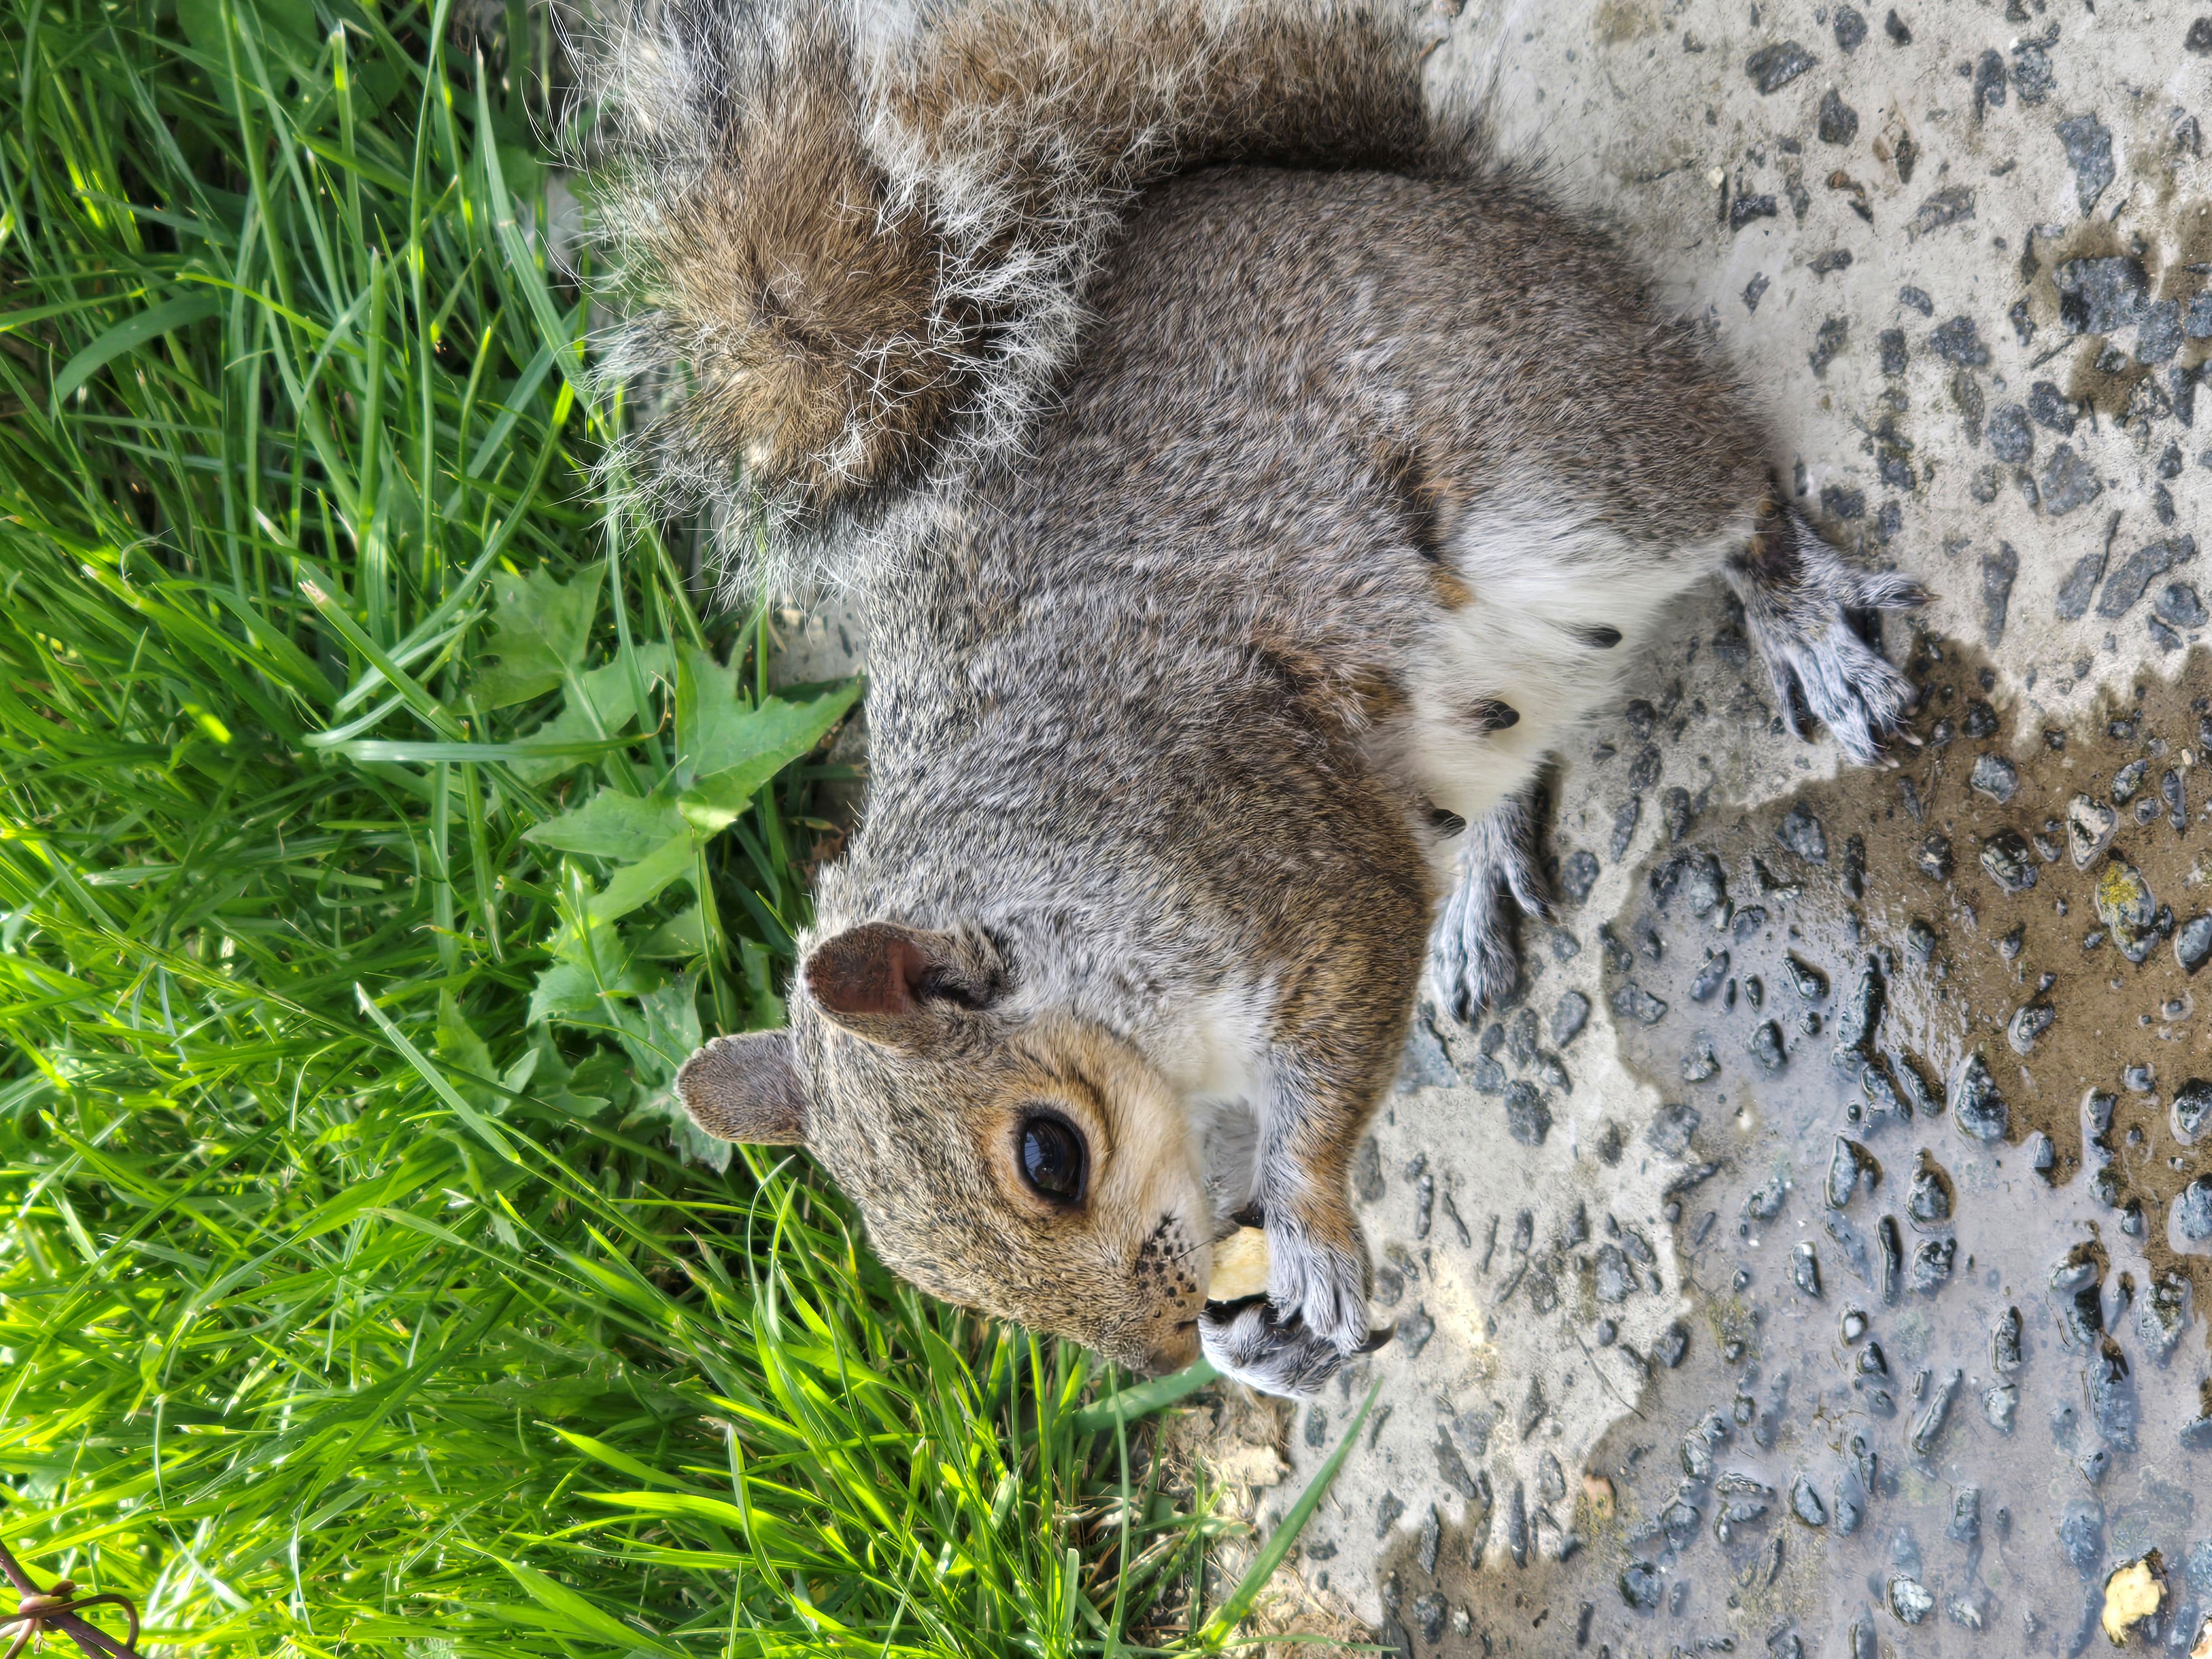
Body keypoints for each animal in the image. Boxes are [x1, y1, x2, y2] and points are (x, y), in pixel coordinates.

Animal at [575, 0, 1925, 1396]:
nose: (1157, 1347)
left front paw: (1311, 1235)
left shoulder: (1279, 857)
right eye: (920, 1270)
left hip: (1562, 471)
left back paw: (1800, 618)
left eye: (1048, 1153)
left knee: (1734, 494)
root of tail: (1414, 194)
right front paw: (1256, 1342)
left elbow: (1333, 1051)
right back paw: (1480, 878)